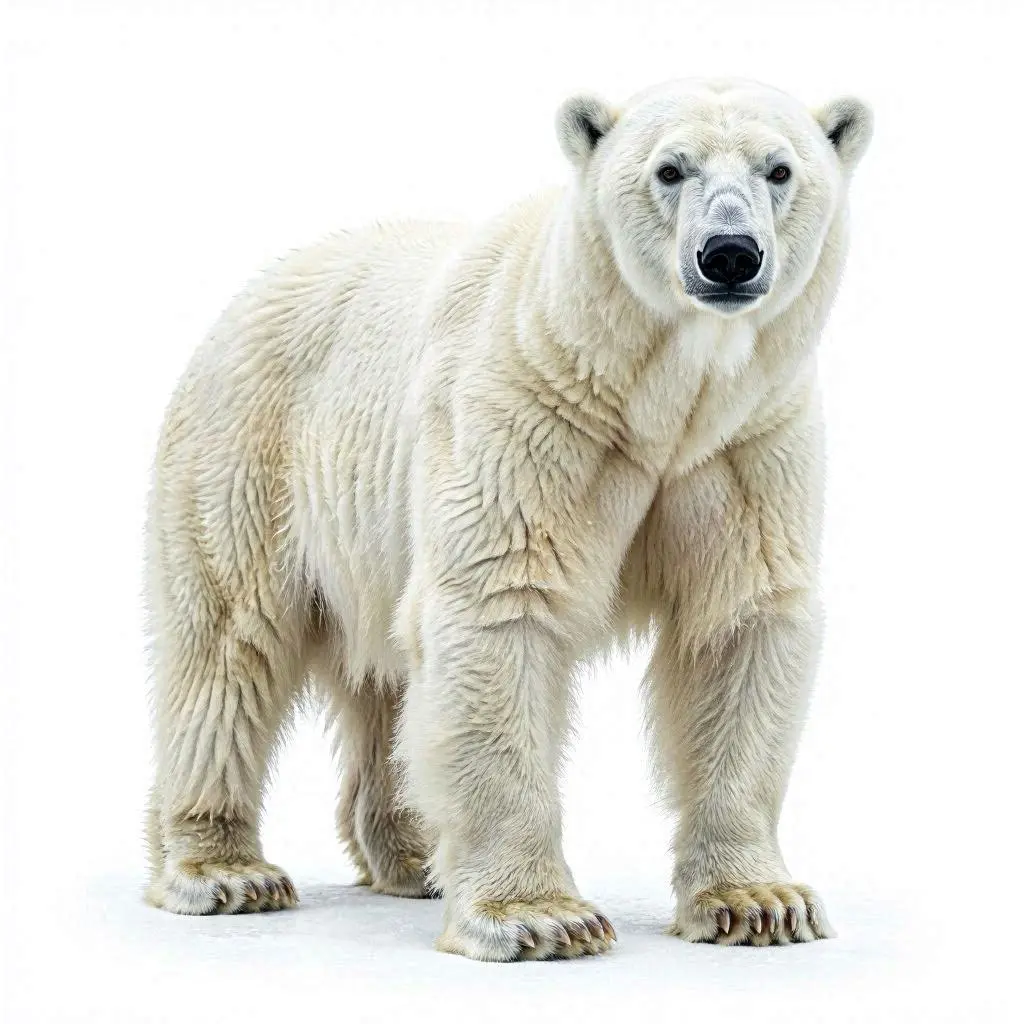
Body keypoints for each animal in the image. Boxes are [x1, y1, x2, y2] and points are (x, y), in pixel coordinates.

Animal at [143, 78, 872, 961]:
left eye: (780, 169)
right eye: (670, 169)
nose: (729, 253)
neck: (650, 394)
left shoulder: (746, 443)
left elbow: (740, 624)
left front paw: (761, 902)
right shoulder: (531, 412)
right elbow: (499, 608)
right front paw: (538, 917)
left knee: (385, 680)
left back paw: (414, 856)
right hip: (253, 448)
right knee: (228, 643)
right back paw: (222, 870)